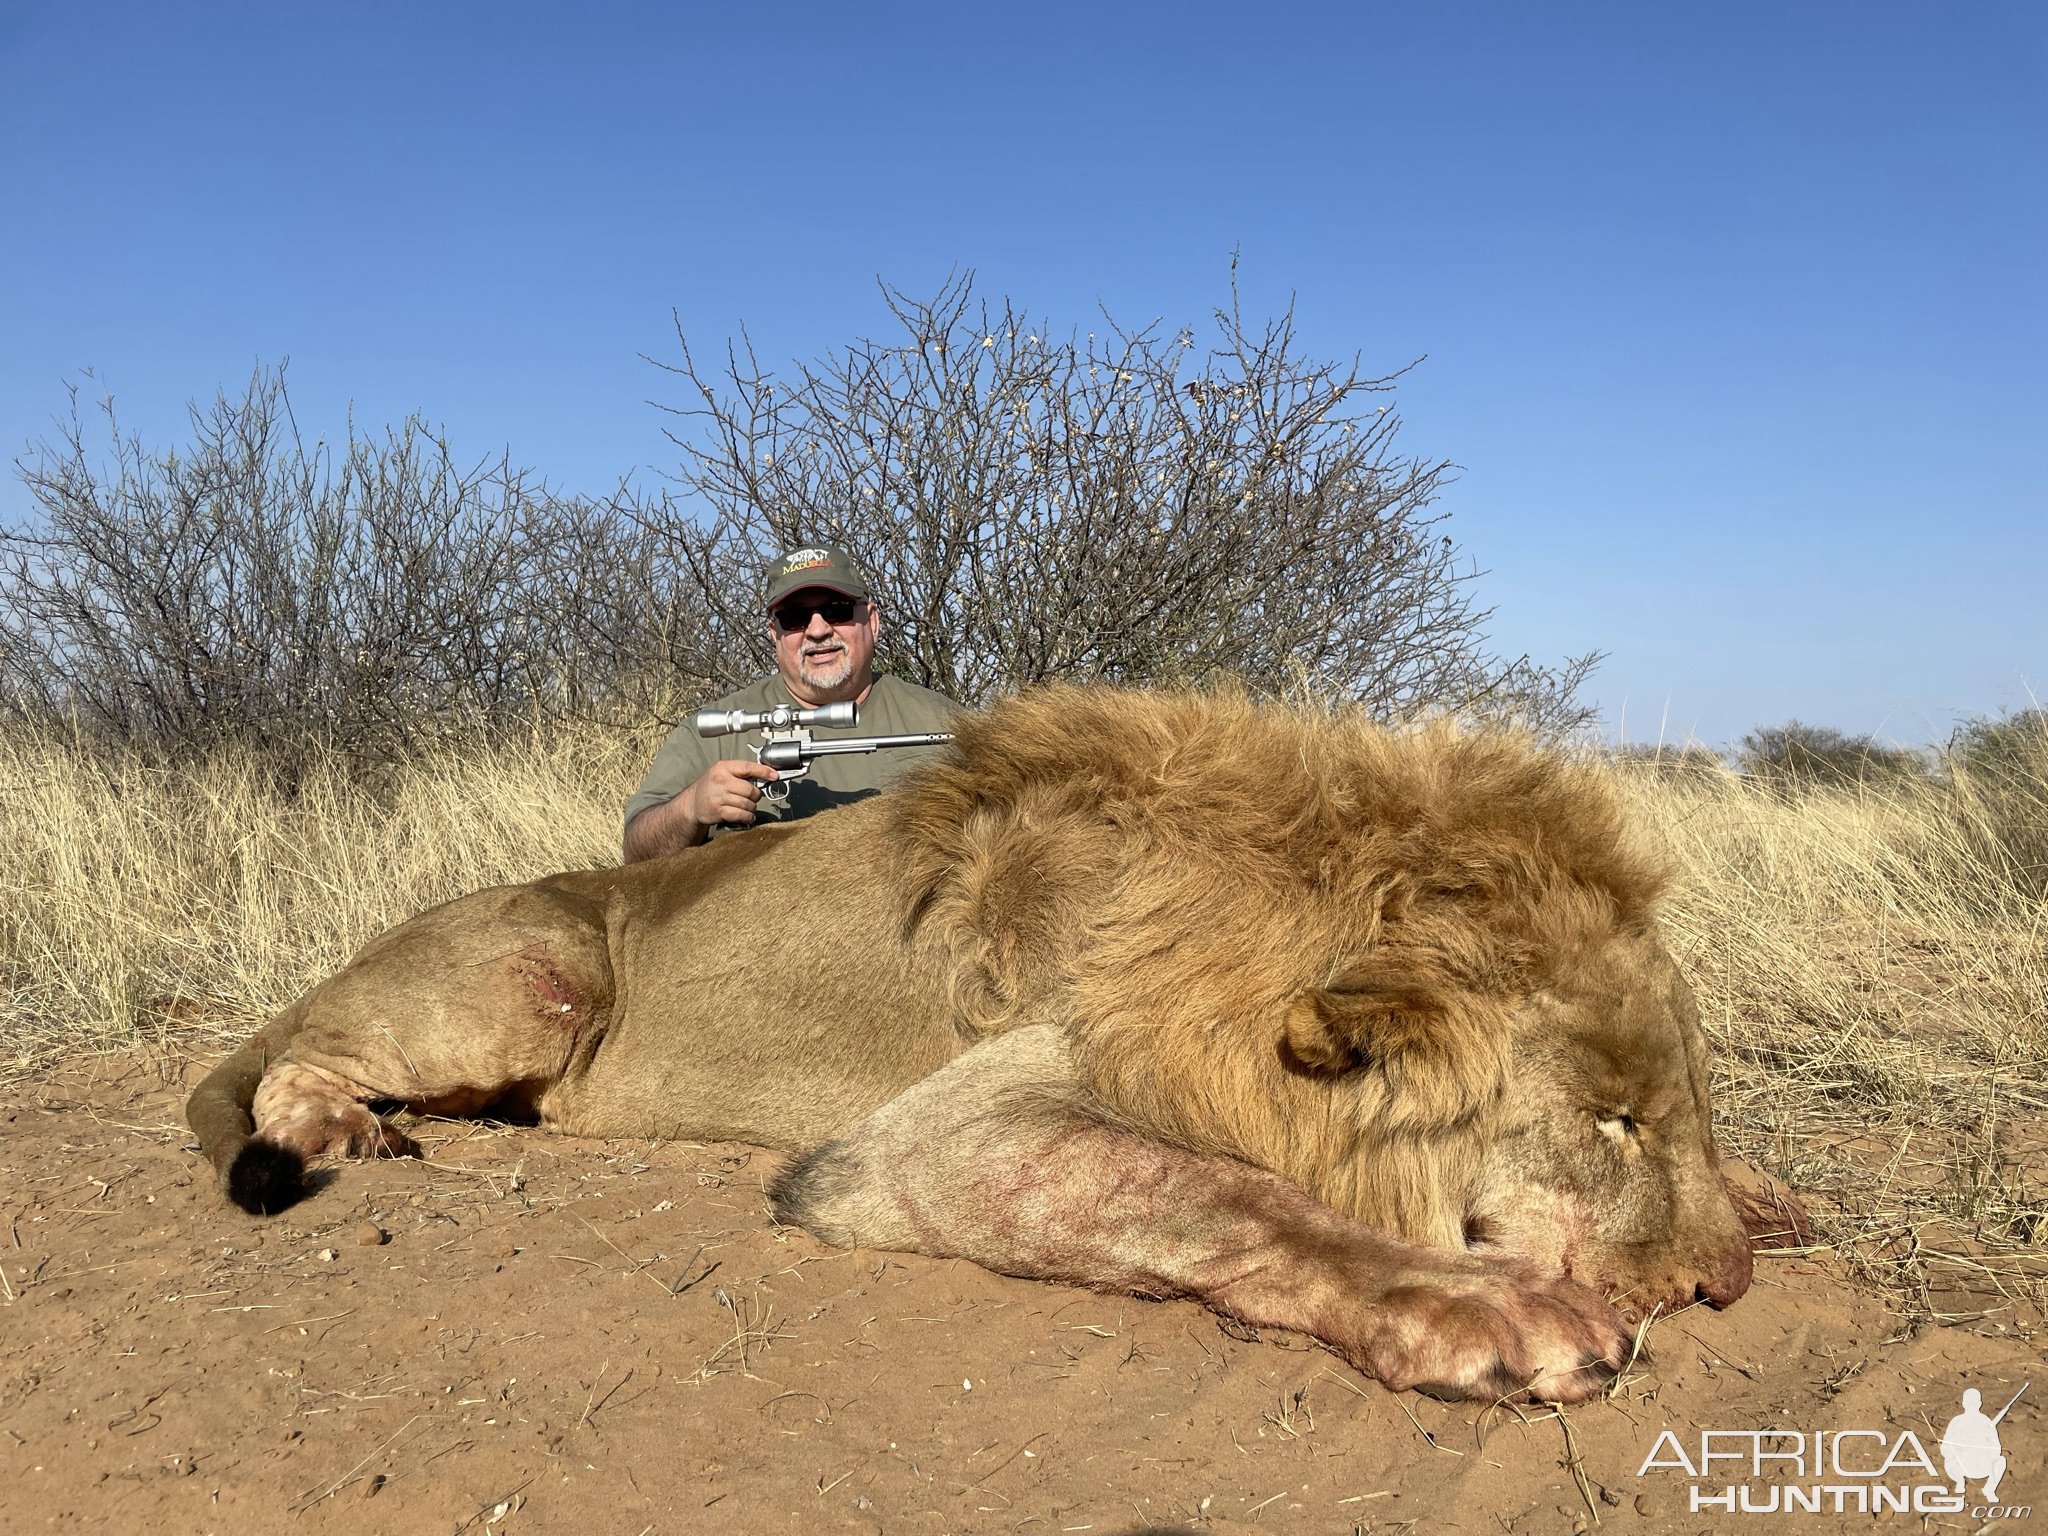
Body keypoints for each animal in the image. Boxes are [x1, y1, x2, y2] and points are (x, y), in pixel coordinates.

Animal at [192, 684, 1753, 1409]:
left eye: (1685, 1109)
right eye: (1610, 1123)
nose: (1722, 1285)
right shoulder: (923, 1136)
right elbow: (1229, 1195)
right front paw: (1496, 1314)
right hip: (543, 972)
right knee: (289, 1059)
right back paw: (336, 1129)